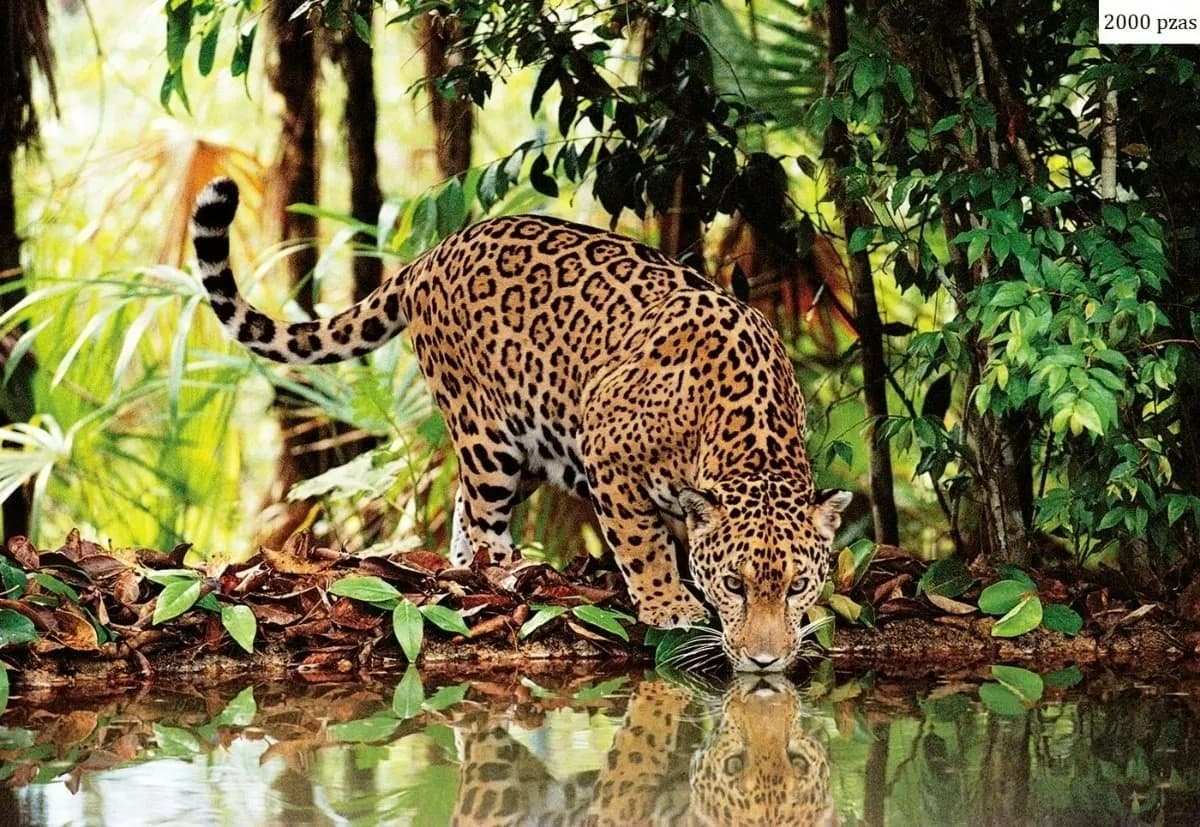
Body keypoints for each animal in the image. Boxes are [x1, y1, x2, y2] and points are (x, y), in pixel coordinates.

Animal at [191, 177, 852, 671]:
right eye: (735, 585)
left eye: (797, 586)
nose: (765, 662)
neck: (744, 436)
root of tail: (431, 255)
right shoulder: (607, 449)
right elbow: (642, 544)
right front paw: (670, 606)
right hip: (486, 431)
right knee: (484, 516)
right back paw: (502, 577)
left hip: (532, 441)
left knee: (464, 508)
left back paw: (465, 572)